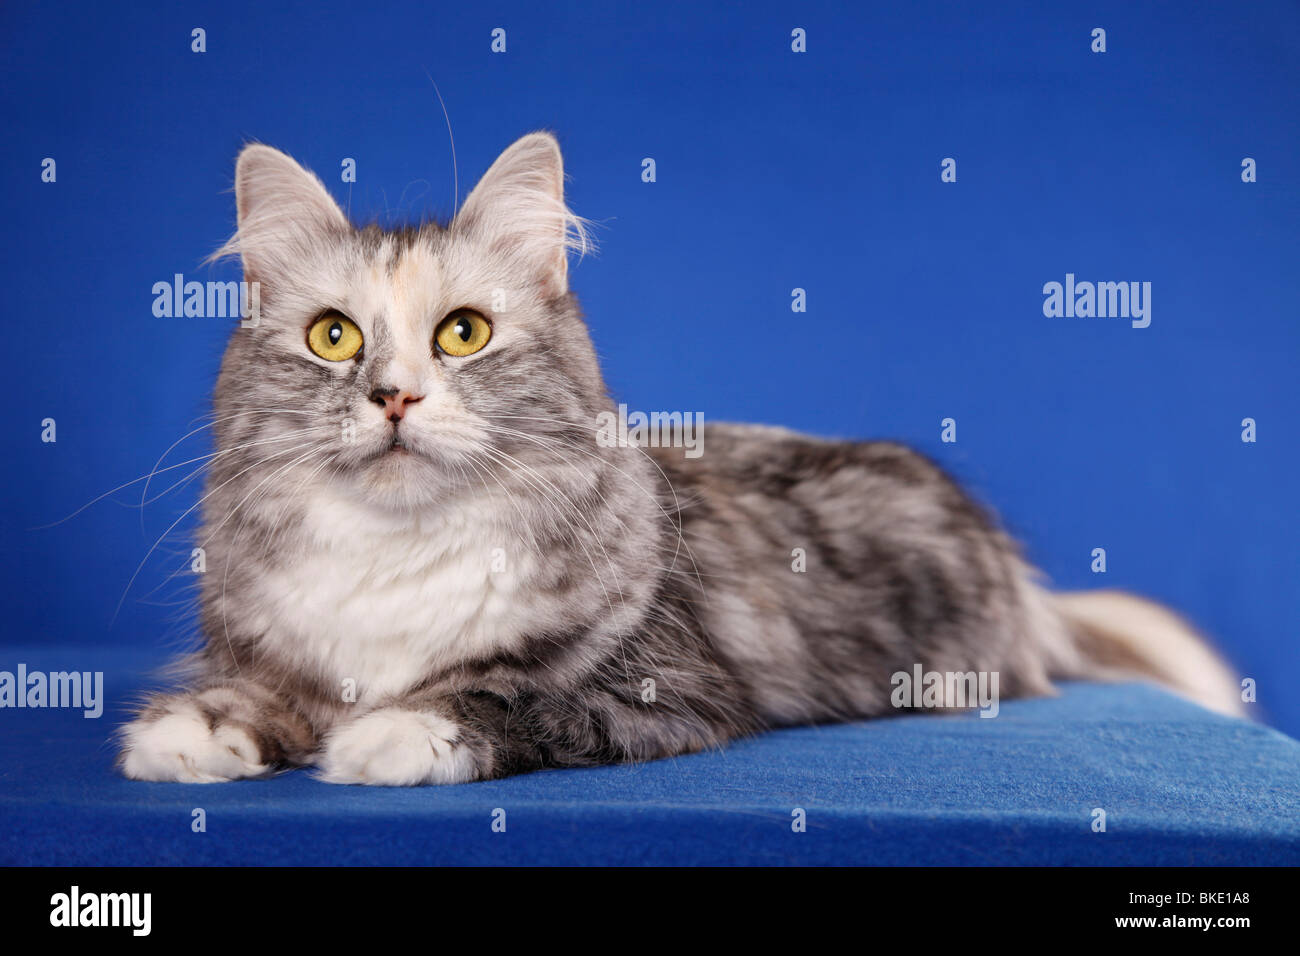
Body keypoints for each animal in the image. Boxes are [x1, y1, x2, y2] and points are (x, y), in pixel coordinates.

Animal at [116, 132, 1242, 785]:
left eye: (464, 334)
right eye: (335, 337)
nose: (394, 395)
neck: (399, 551)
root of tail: (1018, 576)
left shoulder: (667, 694)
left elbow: (496, 695)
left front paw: (386, 736)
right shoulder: (274, 653)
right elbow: (261, 697)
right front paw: (185, 733)